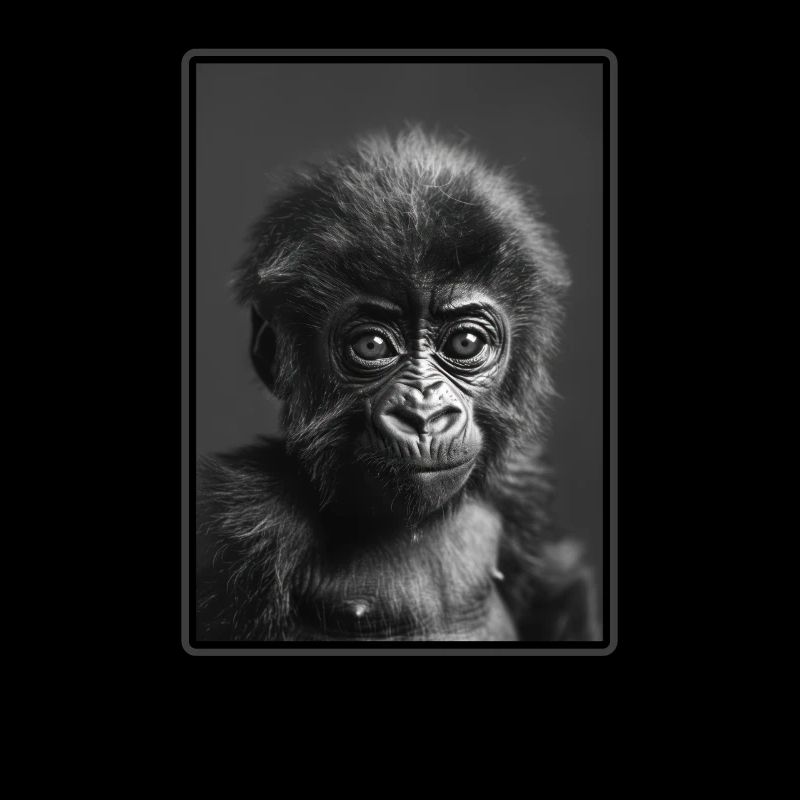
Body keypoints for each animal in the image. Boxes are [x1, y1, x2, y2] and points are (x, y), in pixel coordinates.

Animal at [196, 128, 601, 643]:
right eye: (371, 346)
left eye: (466, 342)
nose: (424, 415)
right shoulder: (242, 525)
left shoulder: (520, 484)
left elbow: (558, 589)